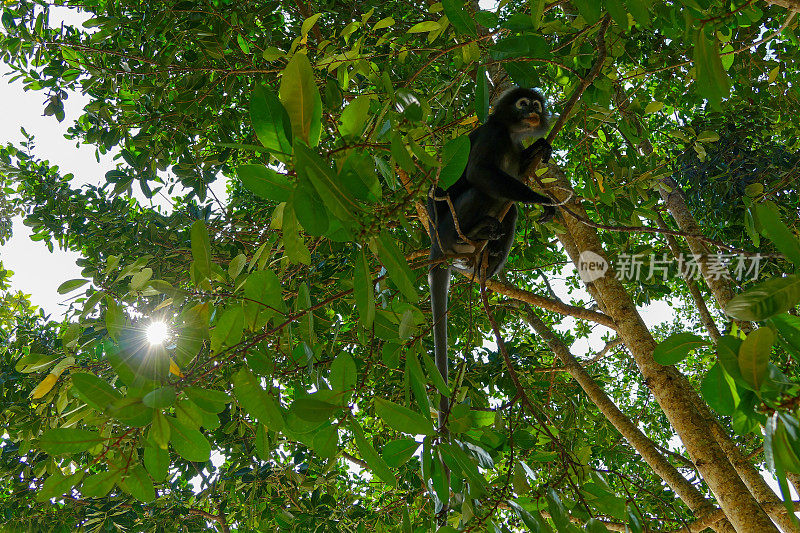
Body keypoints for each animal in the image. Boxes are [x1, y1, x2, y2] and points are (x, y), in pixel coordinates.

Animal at [428, 87, 552, 428]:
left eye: (536, 105)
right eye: (523, 104)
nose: (533, 112)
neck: (510, 135)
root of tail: (435, 243)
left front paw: (540, 147)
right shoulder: (492, 135)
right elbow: (479, 172)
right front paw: (544, 199)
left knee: (511, 210)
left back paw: (489, 260)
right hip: (448, 226)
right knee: (484, 189)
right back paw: (471, 233)